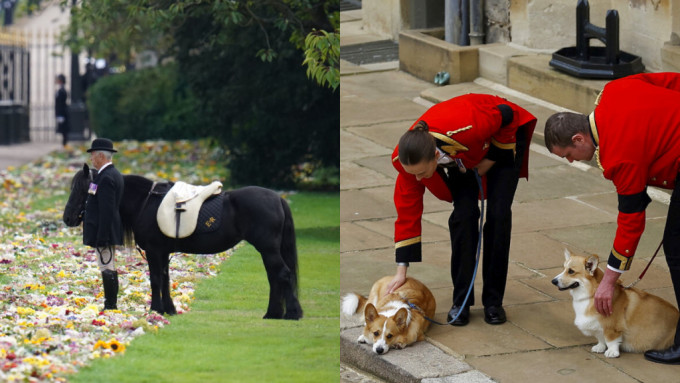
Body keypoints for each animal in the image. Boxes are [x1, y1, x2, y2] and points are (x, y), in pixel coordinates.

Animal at [63, 164, 302, 320]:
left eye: (81, 189)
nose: (67, 217)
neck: (145, 202)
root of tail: (278, 199)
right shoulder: (163, 252)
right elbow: (166, 280)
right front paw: (169, 309)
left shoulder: (154, 251)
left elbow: (156, 280)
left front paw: (155, 310)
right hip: (268, 250)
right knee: (274, 277)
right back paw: (273, 313)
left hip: (268, 249)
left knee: (283, 275)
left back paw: (292, 313)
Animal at [548, 250, 676, 358]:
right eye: (563, 268)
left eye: (571, 271)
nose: (553, 281)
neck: (592, 294)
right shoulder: (597, 326)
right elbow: (600, 338)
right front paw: (600, 347)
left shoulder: (612, 327)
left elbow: (611, 340)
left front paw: (612, 352)